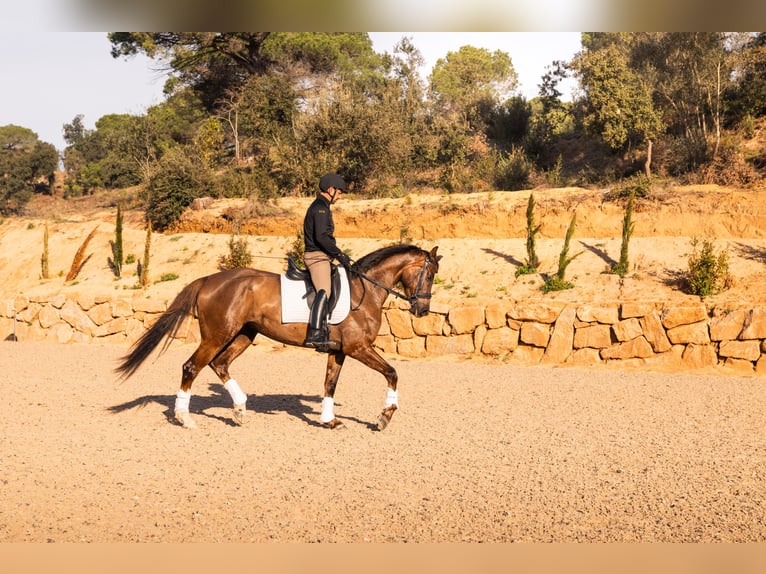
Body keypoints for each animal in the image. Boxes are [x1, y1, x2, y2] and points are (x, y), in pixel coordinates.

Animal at [115, 244, 441, 431]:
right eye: (429, 275)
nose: (422, 310)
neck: (365, 290)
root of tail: (208, 279)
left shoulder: (339, 350)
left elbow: (330, 384)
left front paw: (329, 420)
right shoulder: (359, 347)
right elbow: (393, 372)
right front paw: (385, 416)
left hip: (244, 334)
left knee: (219, 364)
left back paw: (240, 409)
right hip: (218, 335)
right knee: (192, 366)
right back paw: (185, 418)